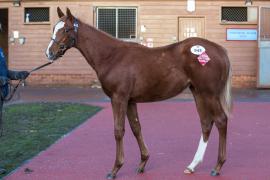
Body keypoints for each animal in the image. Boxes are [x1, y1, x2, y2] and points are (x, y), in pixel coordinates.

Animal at [46, 7, 232, 179]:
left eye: (66, 29)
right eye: (54, 28)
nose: (49, 52)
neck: (112, 56)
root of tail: (220, 50)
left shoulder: (118, 98)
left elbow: (119, 130)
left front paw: (115, 169)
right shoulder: (130, 101)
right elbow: (136, 128)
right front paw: (143, 162)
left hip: (209, 94)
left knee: (221, 120)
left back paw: (218, 166)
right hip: (198, 93)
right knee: (206, 123)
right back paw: (192, 165)